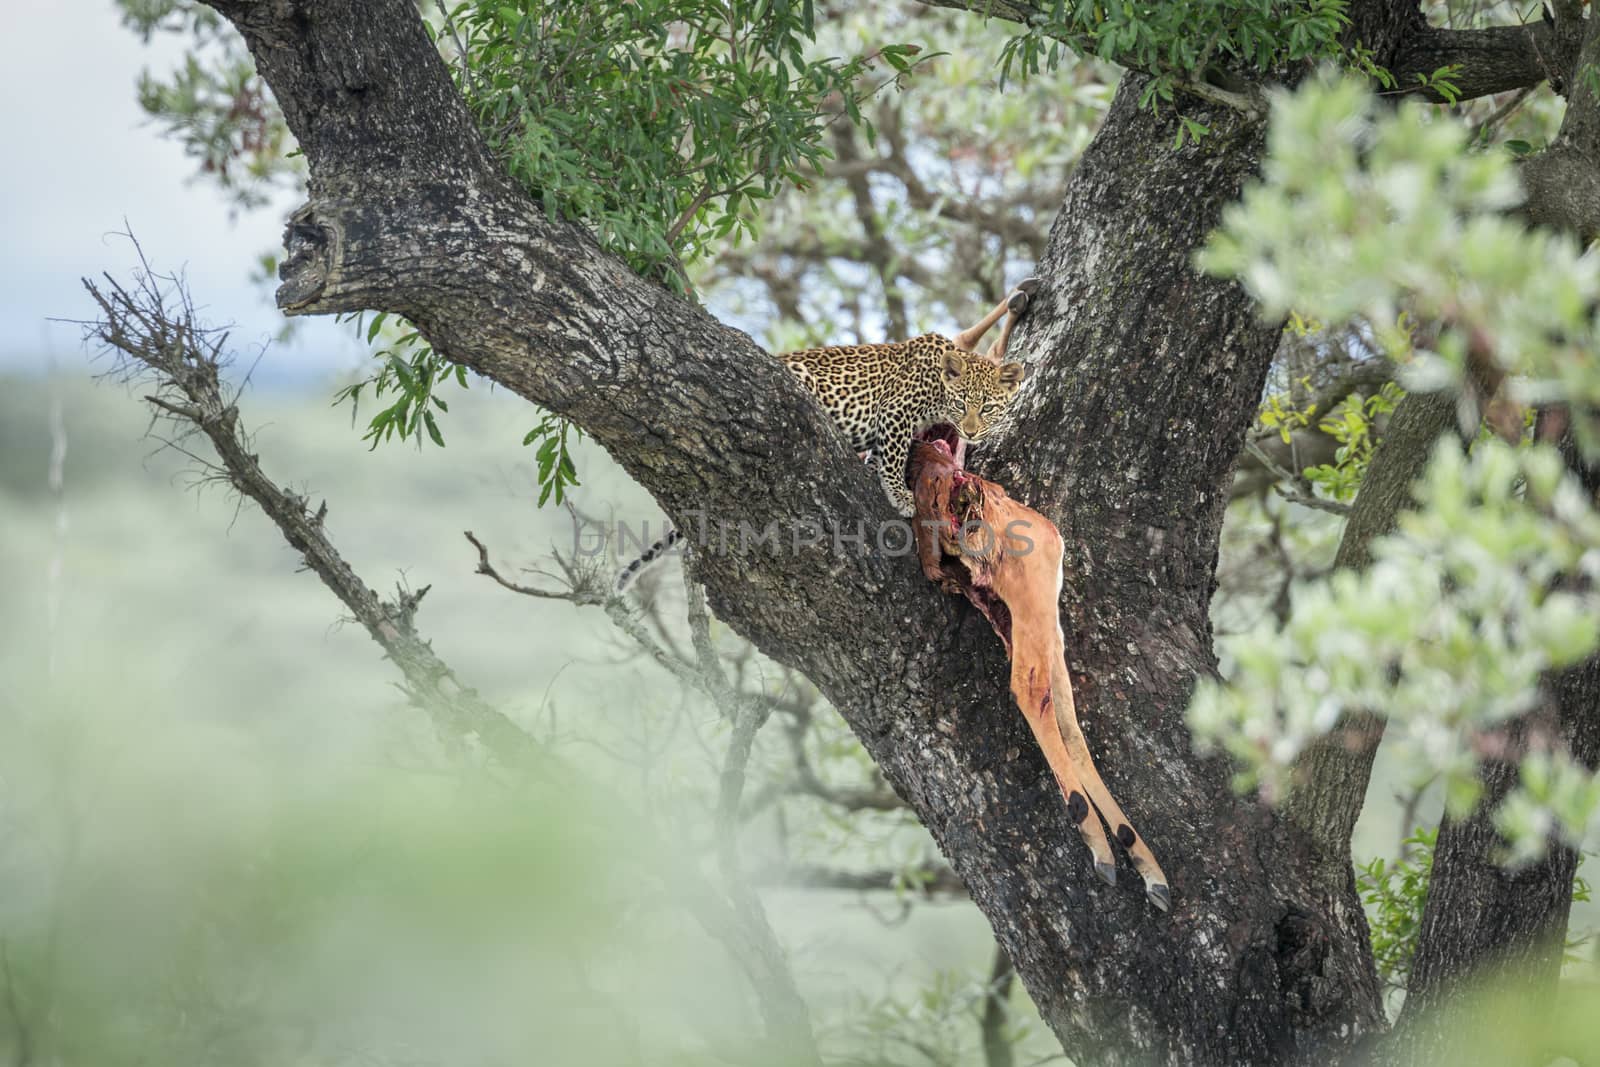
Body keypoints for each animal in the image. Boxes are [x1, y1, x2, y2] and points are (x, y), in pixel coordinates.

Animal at [611, 275, 1036, 591]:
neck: (939, 381)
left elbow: (883, 456)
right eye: (962, 403)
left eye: (988, 408)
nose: (971, 430)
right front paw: (900, 496)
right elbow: (894, 456)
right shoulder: (895, 412)